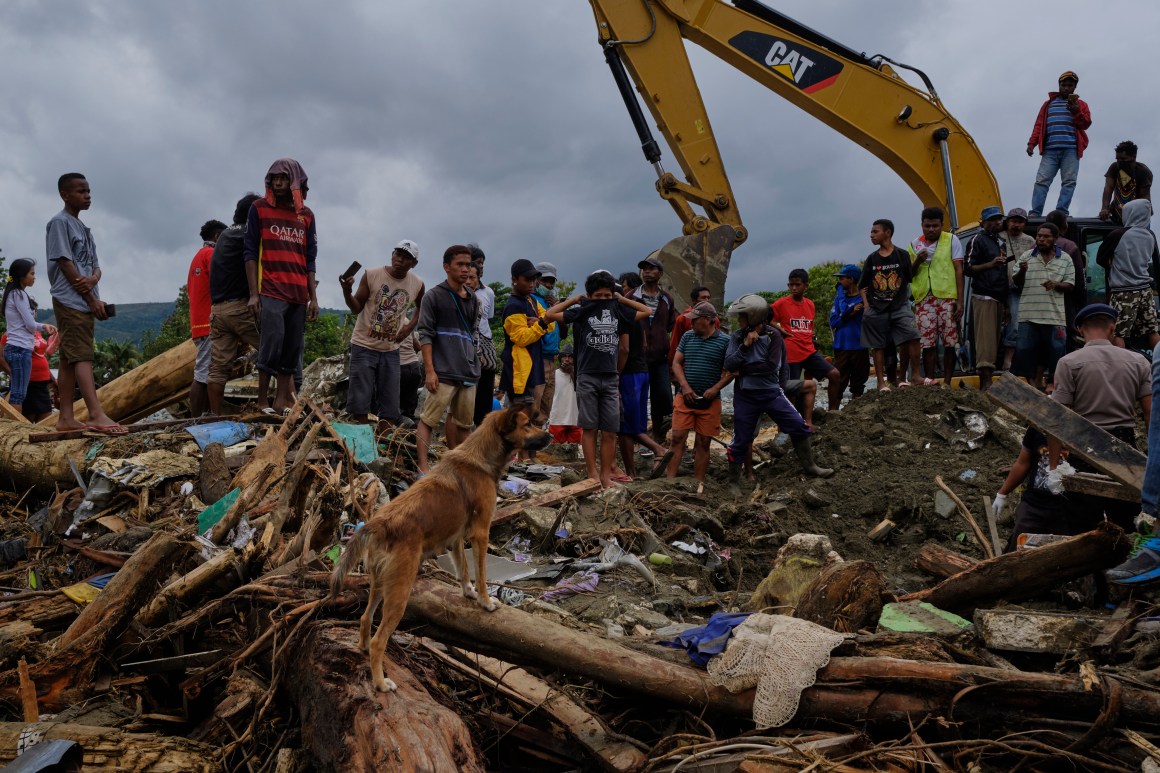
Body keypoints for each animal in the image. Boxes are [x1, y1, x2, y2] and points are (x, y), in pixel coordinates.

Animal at [329, 406, 549, 687]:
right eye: (528, 424)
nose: (549, 436)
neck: (480, 456)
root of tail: (379, 523)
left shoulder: (456, 537)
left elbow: (463, 569)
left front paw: (468, 592)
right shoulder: (481, 532)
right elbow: (481, 574)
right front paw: (485, 601)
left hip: (380, 583)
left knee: (365, 617)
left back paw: (363, 649)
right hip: (400, 591)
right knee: (380, 640)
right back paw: (380, 683)